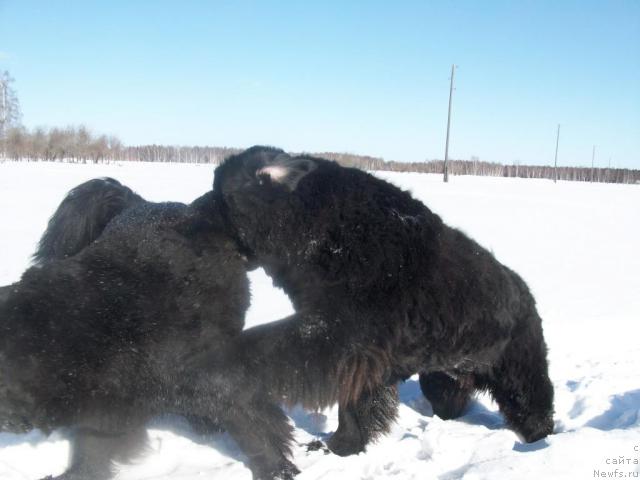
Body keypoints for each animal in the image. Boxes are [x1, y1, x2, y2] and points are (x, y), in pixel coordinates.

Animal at [211, 147, 556, 458]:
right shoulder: (361, 357)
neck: (321, 229)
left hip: (519, 374)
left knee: (534, 407)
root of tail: (527, 295)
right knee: (450, 399)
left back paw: (540, 445)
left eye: (217, 196)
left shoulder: (342, 338)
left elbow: (268, 347)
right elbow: (355, 405)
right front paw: (344, 446)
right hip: (442, 376)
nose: (198, 207)